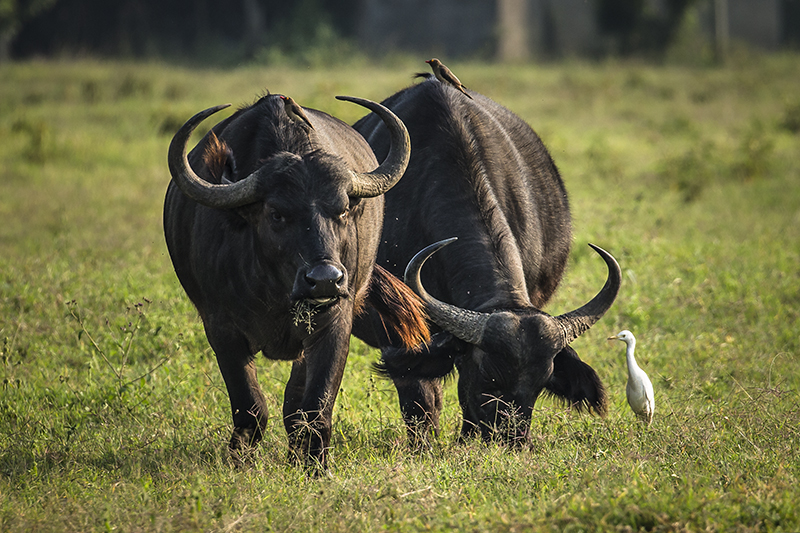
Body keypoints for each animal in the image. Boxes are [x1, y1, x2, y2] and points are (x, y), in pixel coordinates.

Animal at [165, 93, 428, 468]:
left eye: (342, 209)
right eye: (277, 214)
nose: (325, 280)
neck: (277, 291)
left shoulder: (334, 322)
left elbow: (314, 406)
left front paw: (315, 466)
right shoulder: (220, 327)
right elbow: (250, 406)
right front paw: (240, 460)